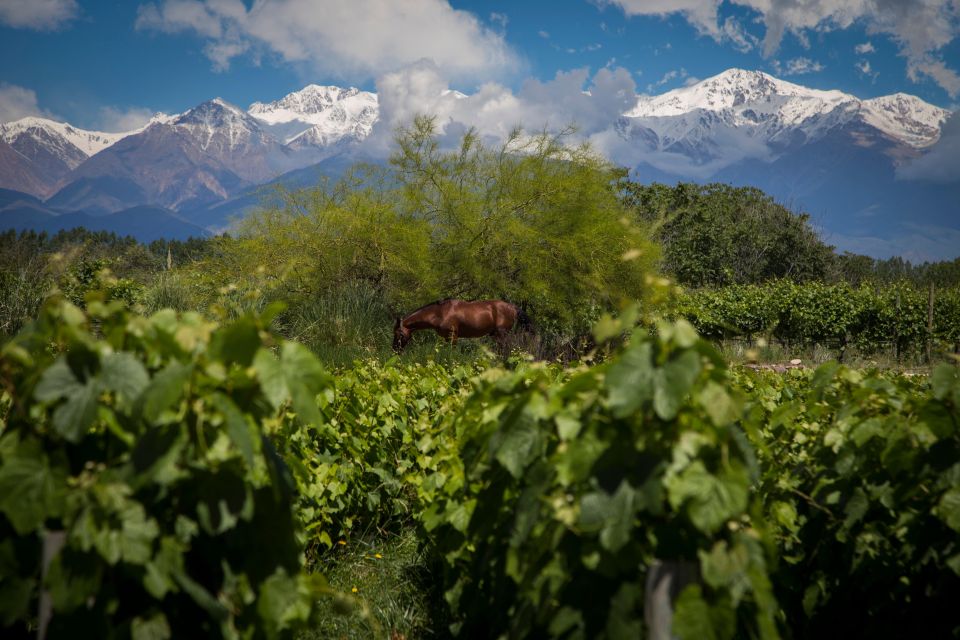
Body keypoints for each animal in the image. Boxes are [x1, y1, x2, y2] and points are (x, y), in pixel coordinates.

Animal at [392, 298, 528, 352]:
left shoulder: (453, 335)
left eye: (399, 334)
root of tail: (512, 307)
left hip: (502, 334)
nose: (395, 350)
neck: (440, 312)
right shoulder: (447, 337)